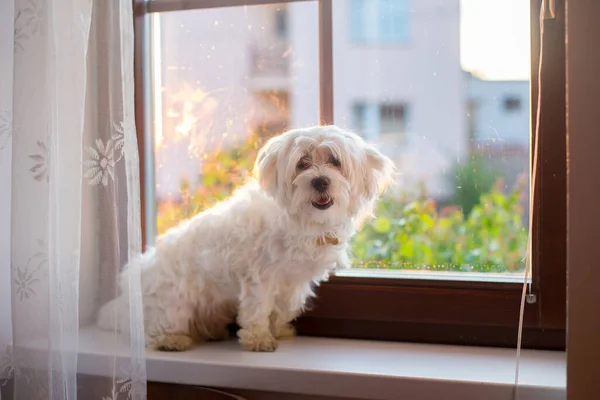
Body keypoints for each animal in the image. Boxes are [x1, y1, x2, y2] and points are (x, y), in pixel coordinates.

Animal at [98, 126, 394, 352]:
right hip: (173, 302)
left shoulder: (294, 281)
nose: (320, 181)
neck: (303, 221)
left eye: (335, 161)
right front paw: (259, 339)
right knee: (156, 328)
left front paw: (280, 330)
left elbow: (284, 307)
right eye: (302, 163)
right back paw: (172, 340)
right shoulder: (260, 276)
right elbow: (259, 308)